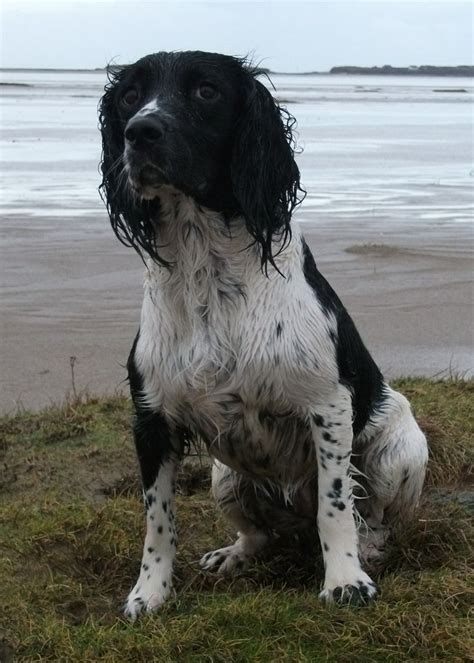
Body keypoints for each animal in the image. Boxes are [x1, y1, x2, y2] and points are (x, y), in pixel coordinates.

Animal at [98, 49, 428, 620]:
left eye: (207, 91)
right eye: (129, 96)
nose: (141, 132)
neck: (206, 270)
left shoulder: (327, 405)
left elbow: (336, 506)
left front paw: (345, 581)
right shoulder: (151, 418)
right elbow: (158, 521)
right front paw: (149, 593)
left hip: (401, 450)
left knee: (374, 517)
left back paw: (370, 549)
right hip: (225, 476)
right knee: (259, 534)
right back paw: (232, 554)